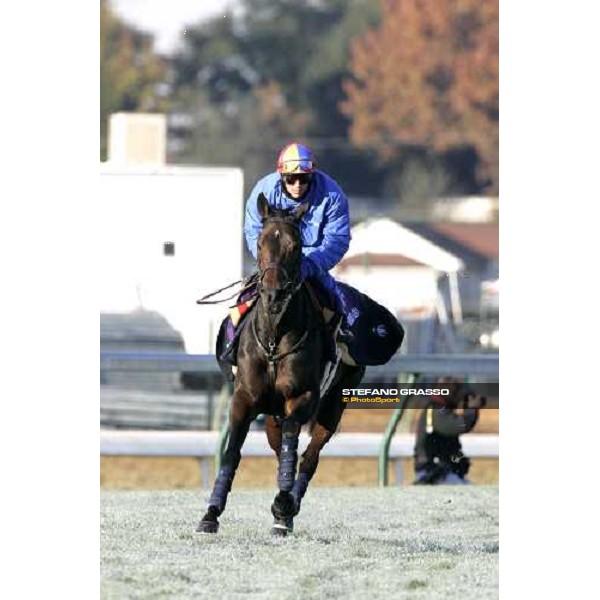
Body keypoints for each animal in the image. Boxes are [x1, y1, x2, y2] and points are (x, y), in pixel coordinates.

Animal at [199, 192, 364, 536]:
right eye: (261, 242)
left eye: (296, 245)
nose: (274, 294)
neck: (274, 338)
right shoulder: (244, 397)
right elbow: (232, 452)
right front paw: (211, 513)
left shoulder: (301, 396)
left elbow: (293, 444)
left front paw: (283, 505)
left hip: (334, 403)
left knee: (310, 456)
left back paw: (288, 507)